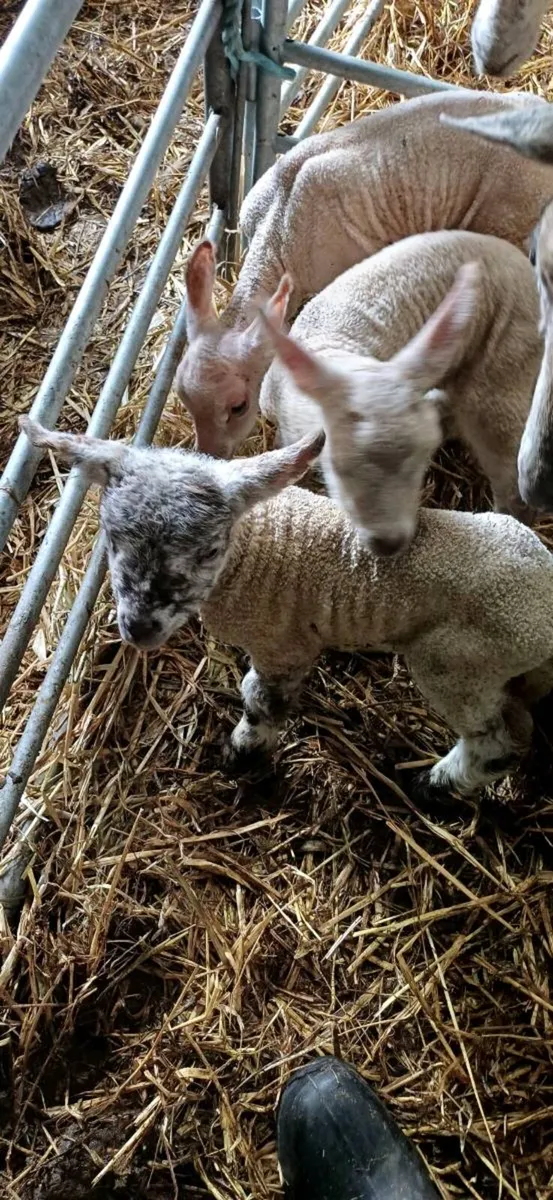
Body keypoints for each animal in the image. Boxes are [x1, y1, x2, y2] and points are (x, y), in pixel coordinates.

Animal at [20, 416, 553, 801]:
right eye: (111, 538)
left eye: (208, 550)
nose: (139, 628)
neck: (255, 549)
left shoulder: (283, 644)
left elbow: (262, 700)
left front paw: (243, 756)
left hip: (457, 664)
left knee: (498, 741)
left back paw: (434, 786)